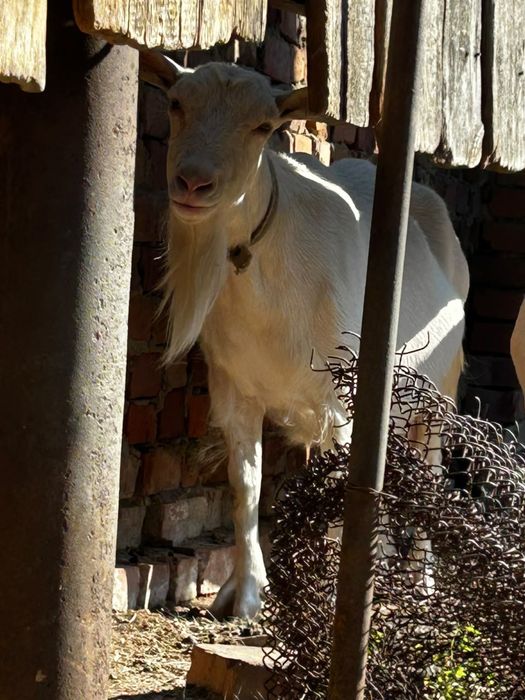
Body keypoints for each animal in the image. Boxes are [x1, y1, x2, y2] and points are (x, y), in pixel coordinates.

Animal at [140, 52, 469, 618]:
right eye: (177, 103)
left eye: (263, 126)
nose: (193, 184)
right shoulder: (236, 388)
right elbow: (246, 486)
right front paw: (244, 595)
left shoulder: (340, 400)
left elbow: (340, 487)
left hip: (439, 396)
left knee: (429, 473)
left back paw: (420, 583)